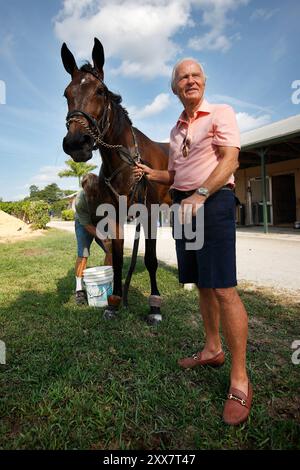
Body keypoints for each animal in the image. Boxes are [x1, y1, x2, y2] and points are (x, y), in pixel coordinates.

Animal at [60, 37, 171, 324]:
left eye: (100, 91)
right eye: (66, 94)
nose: (76, 143)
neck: (126, 162)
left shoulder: (149, 214)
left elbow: (151, 259)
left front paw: (155, 307)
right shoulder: (116, 216)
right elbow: (118, 258)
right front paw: (115, 302)